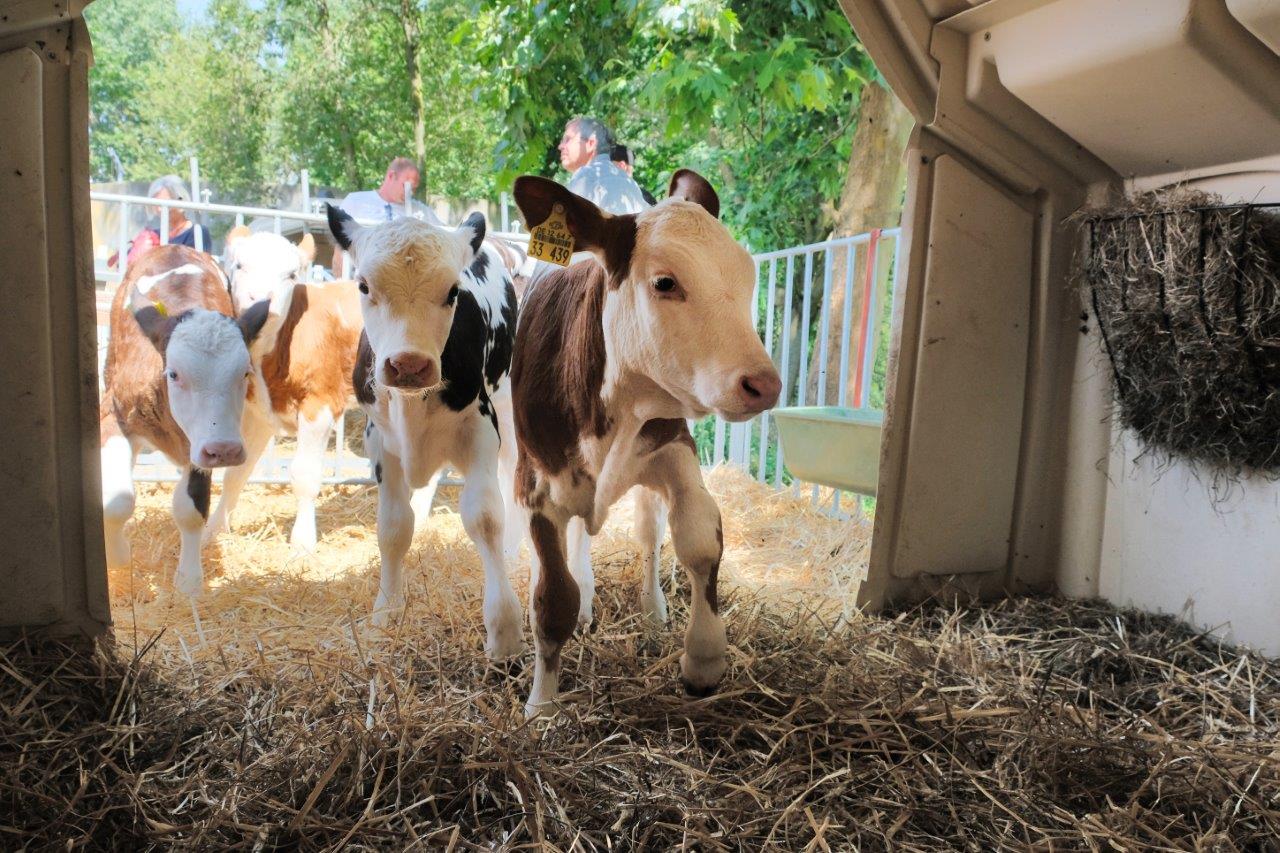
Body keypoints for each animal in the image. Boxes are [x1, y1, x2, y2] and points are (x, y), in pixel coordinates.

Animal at [100, 242, 270, 594]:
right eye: (174, 374)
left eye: (245, 373)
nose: (227, 450)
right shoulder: (115, 413)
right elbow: (117, 500)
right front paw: (118, 556)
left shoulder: (202, 446)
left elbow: (192, 507)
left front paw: (189, 580)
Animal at [325, 202, 524, 653]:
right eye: (363, 285)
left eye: (452, 291)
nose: (409, 365)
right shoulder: (379, 440)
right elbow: (393, 528)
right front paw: (385, 612)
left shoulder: (481, 427)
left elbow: (485, 517)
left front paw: (504, 629)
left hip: (506, 404)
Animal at [509, 169, 778, 712]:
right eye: (665, 282)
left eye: (747, 275)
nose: (764, 384)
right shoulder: (535, 486)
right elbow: (553, 597)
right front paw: (542, 706)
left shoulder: (674, 449)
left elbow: (699, 541)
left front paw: (703, 659)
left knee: (649, 535)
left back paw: (652, 608)